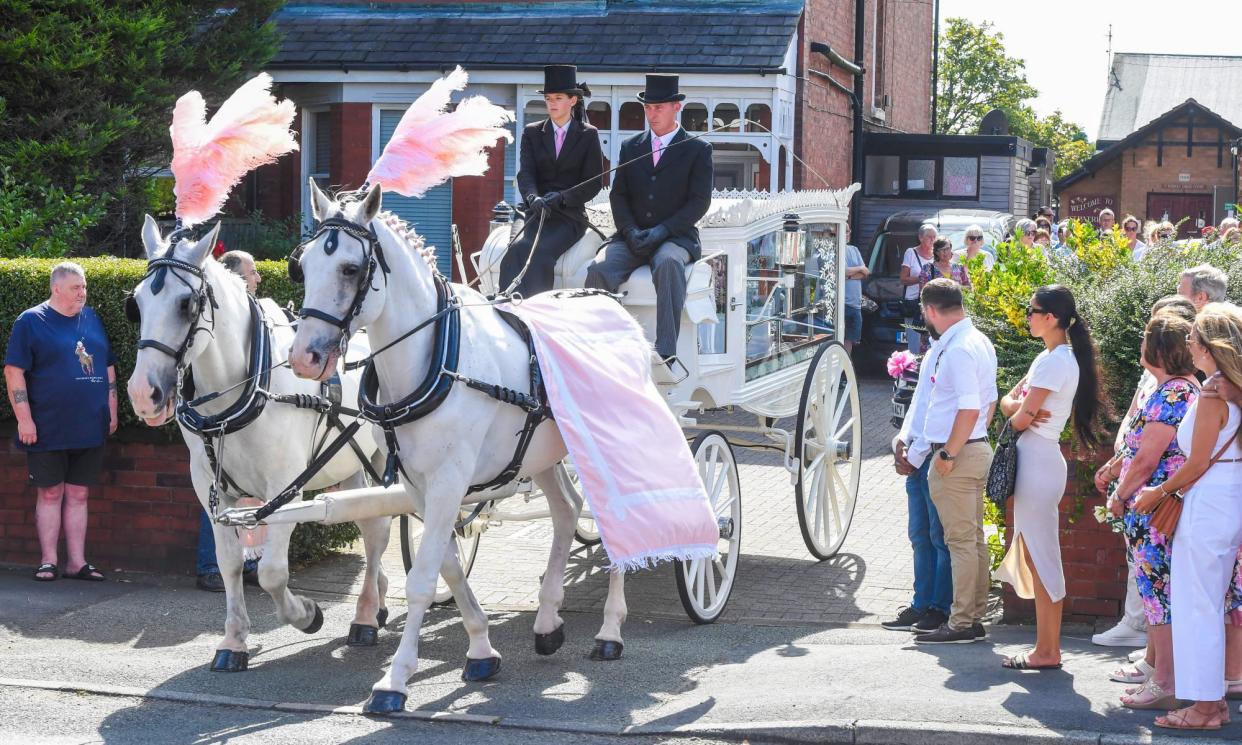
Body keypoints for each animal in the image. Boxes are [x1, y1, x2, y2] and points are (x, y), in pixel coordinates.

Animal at [126, 213, 392, 670]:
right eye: (137, 304)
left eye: (186, 304)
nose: (145, 394)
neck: (247, 386)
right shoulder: (212, 490)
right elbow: (230, 564)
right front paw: (233, 641)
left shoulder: (285, 490)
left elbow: (271, 572)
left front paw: (307, 614)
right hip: (352, 465)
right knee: (370, 522)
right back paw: (378, 600)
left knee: (381, 530)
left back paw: (364, 618)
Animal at [284, 183, 625, 715]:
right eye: (301, 267)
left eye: (350, 269)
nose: (305, 357)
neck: (439, 356)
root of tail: (606, 300)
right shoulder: (420, 485)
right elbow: (447, 565)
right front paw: (482, 650)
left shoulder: (449, 480)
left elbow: (423, 580)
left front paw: (394, 681)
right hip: (542, 455)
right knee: (568, 511)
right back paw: (548, 621)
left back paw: (610, 630)